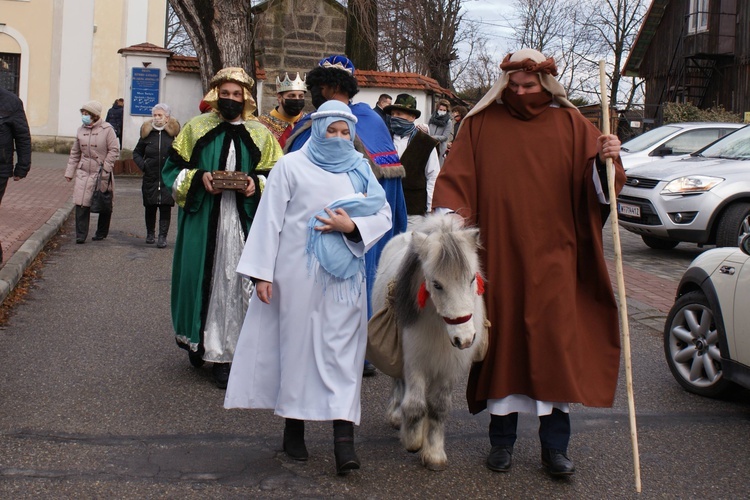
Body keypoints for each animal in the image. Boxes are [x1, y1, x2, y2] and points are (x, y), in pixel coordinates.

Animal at [374, 213, 490, 470]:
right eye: (437, 284)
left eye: (471, 279)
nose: (465, 338)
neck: (440, 327)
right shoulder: (414, 361)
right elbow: (415, 405)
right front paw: (413, 441)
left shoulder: (449, 367)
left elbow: (438, 408)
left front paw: (434, 454)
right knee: (399, 384)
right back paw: (396, 417)